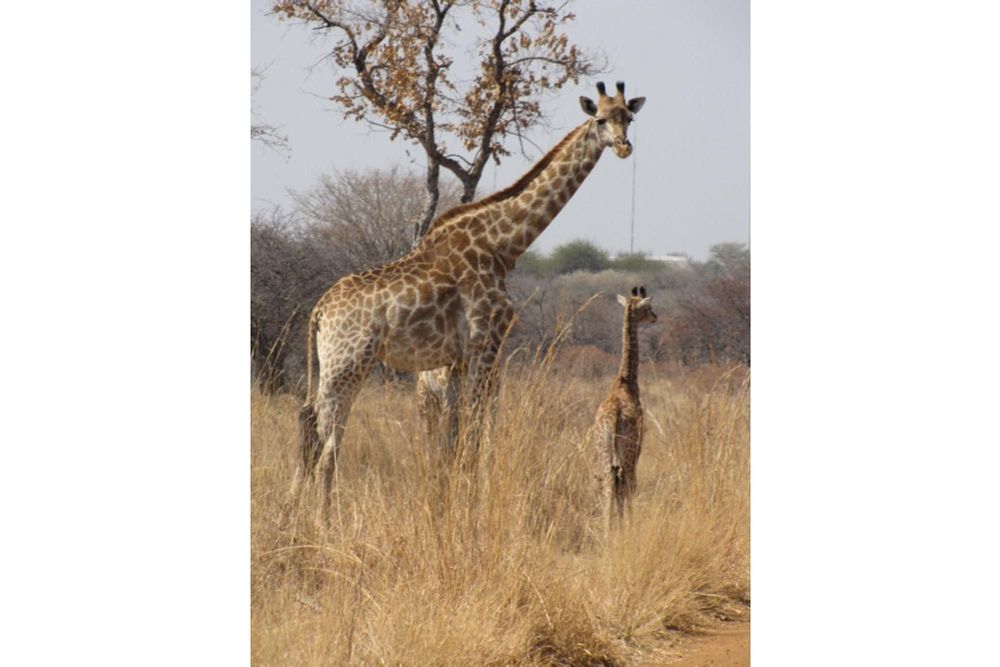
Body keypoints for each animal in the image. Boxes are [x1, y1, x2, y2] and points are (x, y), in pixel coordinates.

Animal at [293, 81, 647, 513]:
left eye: (628, 117)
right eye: (599, 119)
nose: (624, 147)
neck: (504, 245)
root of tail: (319, 311)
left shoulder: (459, 359)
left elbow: (458, 443)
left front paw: (453, 504)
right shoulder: (485, 344)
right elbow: (475, 436)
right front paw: (471, 508)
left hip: (333, 367)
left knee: (311, 428)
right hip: (347, 365)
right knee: (327, 445)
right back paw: (325, 520)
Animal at [590, 286, 657, 532]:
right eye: (648, 307)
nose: (655, 317)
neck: (625, 381)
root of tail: (612, 419)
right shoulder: (636, 448)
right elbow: (629, 485)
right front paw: (628, 525)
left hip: (602, 450)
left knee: (608, 482)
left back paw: (606, 529)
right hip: (627, 451)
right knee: (625, 482)